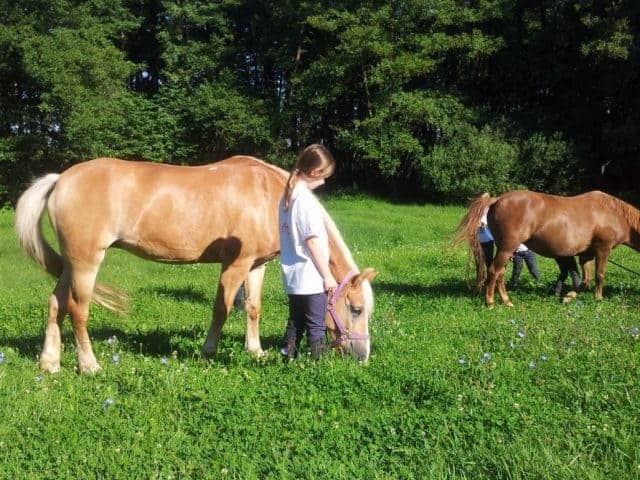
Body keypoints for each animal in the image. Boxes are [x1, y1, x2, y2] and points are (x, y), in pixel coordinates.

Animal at [15, 156, 378, 374]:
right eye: (356, 309)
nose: (363, 357)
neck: (273, 195)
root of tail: (61, 179)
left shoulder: (256, 265)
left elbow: (253, 309)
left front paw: (256, 351)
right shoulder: (235, 264)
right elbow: (222, 308)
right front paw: (208, 350)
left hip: (71, 265)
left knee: (56, 303)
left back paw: (50, 362)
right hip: (86, 263)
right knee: (78, 309)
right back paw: (89, 365)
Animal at [456, 190, 640, 308]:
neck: (614, 213)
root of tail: (497, 199)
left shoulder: (586, 254)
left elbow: (585, 280)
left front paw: (568, 297)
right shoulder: (603, 248)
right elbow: (599, 275)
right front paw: (598, 298)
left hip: (504, 249)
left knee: (499, 273)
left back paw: (506, 301)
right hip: (507, 248)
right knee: (494, 271)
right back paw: (490, 302)